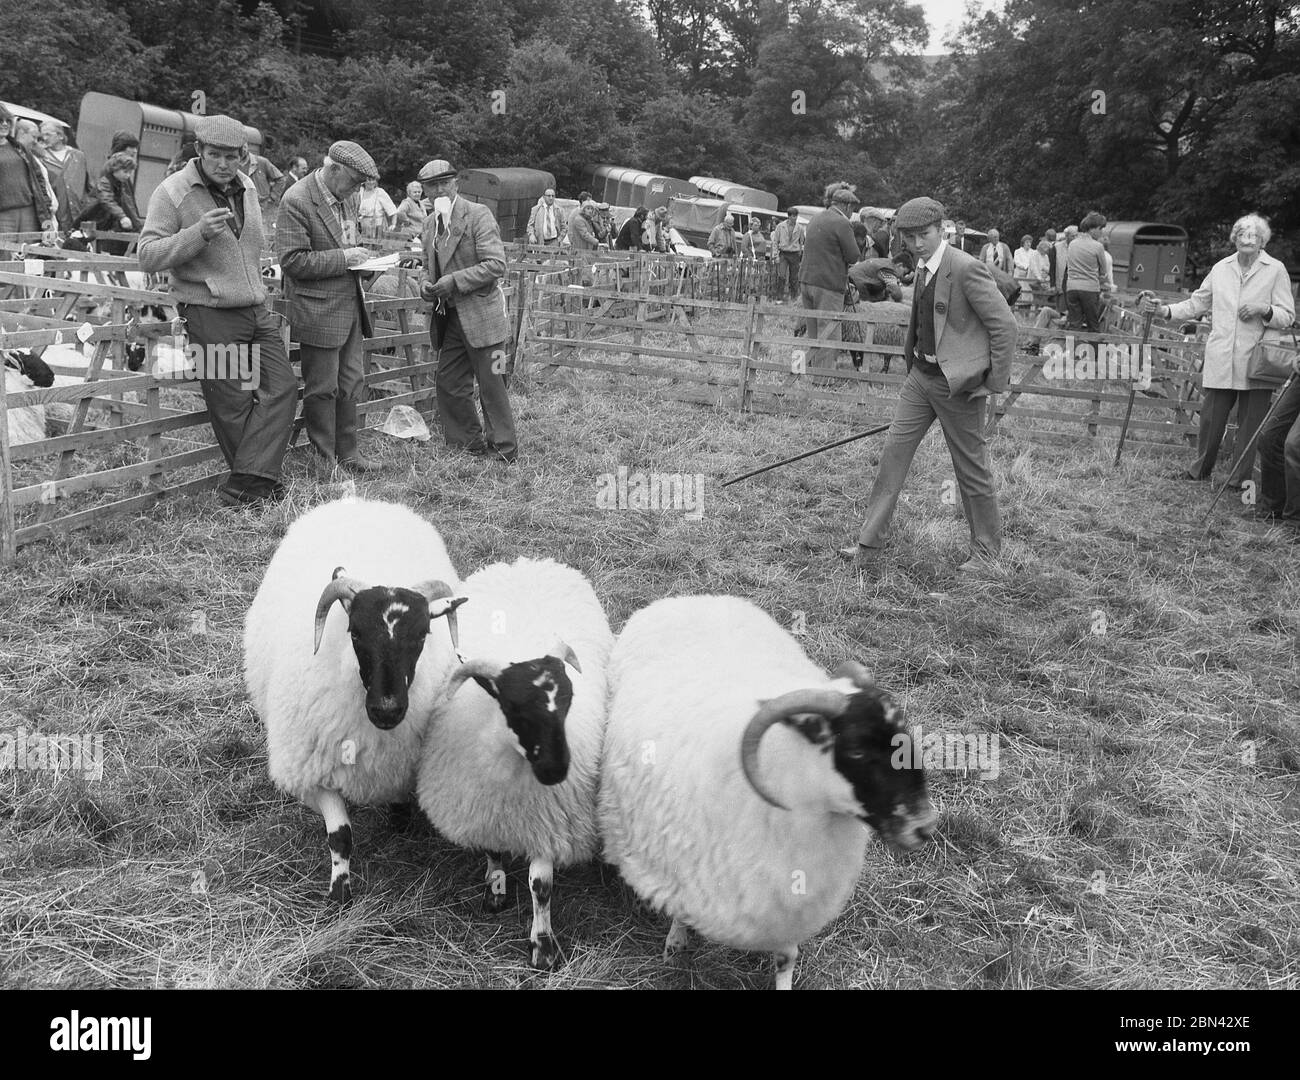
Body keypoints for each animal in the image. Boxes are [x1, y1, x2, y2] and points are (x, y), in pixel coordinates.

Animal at [244, 499, 467, 904]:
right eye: (355, 632)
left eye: (423, 633)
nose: (387, 709)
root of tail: (359, 500)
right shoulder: (313, 771)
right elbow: (341, 836)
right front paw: (340, 894)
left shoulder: (403, 765)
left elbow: (400, 806)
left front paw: (398, 825)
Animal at [418, 556, 616, 972]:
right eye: (514, 708)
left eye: (570, 701)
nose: (556, 771)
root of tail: (526, 562)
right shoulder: (482, 810)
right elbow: (492, 852)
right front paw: (495, 888)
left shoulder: (544, 821)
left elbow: (541, 885)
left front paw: (543, 945)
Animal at [598, 595, 935, 992]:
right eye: (855, 751)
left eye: (906, 739)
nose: (924, 826)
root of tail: (693, 597)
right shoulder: (682, 865)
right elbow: (680, 908)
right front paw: (675, 945)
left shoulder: (790, 904)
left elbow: (785, 958)